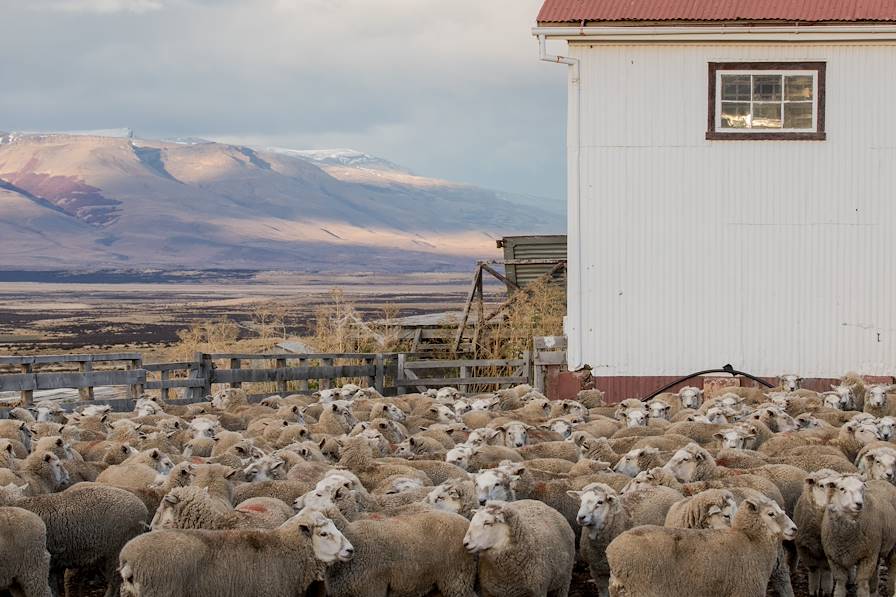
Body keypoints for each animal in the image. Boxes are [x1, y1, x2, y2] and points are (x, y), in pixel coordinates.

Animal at [0, 480, 149, 596]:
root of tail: (143, 509)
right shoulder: (51, 564)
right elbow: (53, 588)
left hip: (116, 551)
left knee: (116, 582)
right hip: (103, 556)